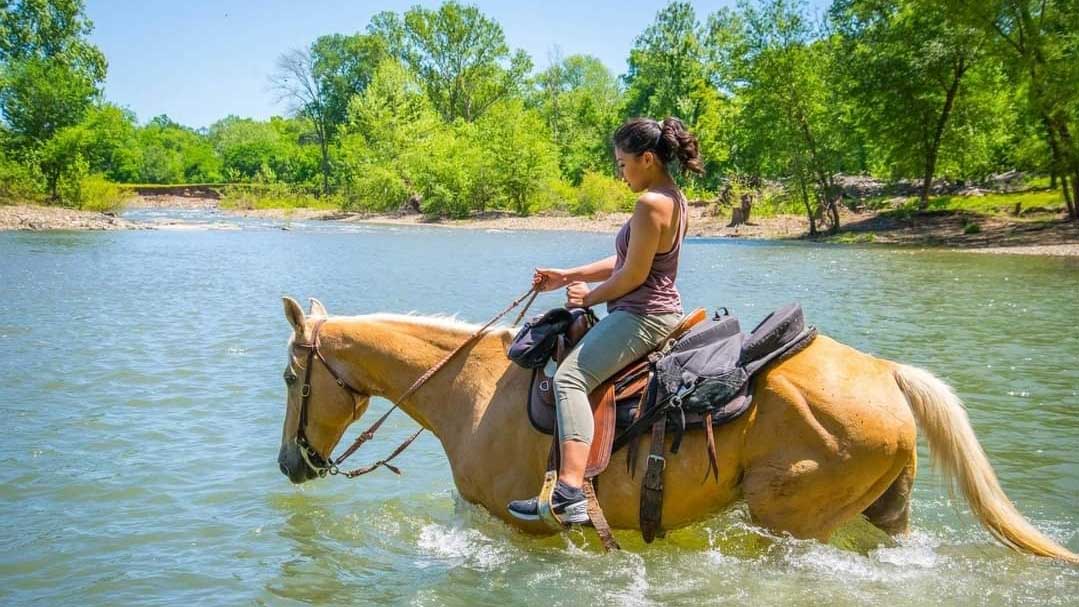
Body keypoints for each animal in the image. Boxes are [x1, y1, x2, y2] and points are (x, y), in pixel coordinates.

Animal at [278, 297, 1079, 564]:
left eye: (290, 377)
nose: (290, 462)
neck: (471, 391)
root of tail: (885, 372)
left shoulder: (517, 524)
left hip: (790, 519)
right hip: (885, 512)